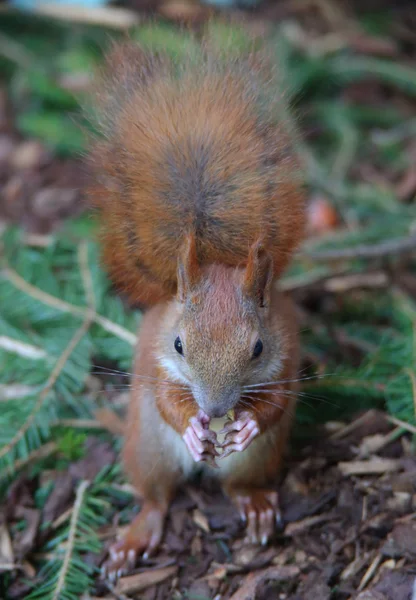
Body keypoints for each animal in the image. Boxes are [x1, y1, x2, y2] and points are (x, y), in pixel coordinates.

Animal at [88, 39, 308, 576]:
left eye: (258, 348)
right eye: (178, 344)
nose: (214, 411)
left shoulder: (288, 354)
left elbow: (274, 402)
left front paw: (247, 422)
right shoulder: (153, 362)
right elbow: (169, 400)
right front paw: (191, 426)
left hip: (260, 460)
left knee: (237, 484)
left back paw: (254, 504)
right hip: (147, 449)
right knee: (156, 496)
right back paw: (136, 536)